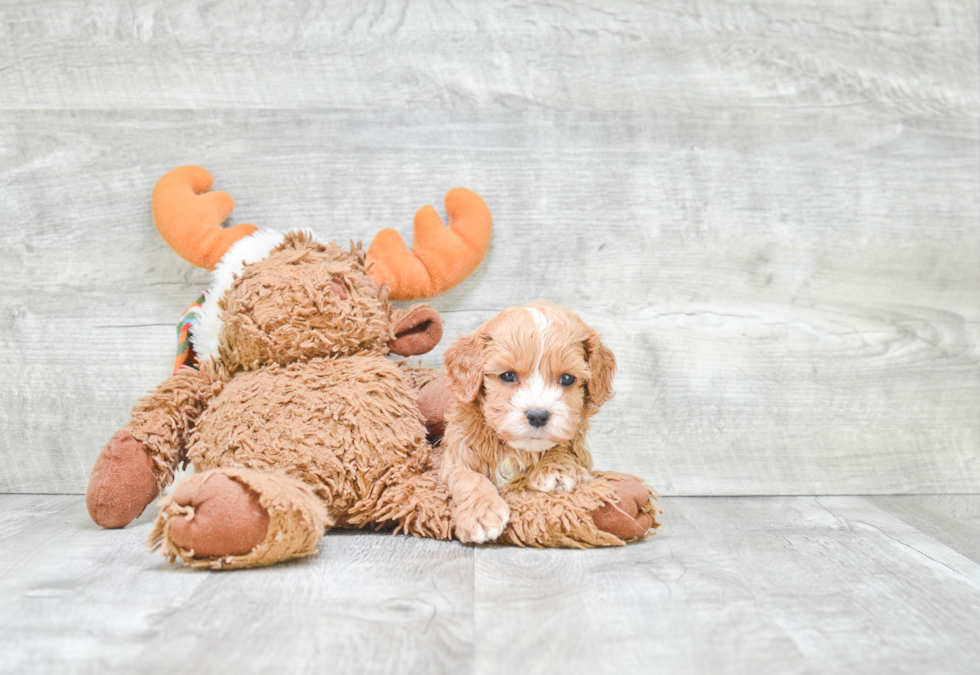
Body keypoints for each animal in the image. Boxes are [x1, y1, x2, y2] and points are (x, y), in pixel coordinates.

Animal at [440, 302, 616, 544]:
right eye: (508, 376)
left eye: (567, 379)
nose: (538, 415)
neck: (517, 449)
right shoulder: (456, 449)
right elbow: (466, 475)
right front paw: (481, 512)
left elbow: (565, 447)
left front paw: (556, 468)